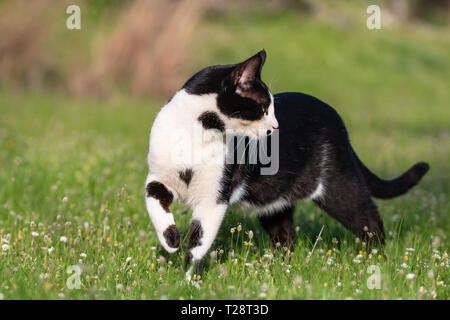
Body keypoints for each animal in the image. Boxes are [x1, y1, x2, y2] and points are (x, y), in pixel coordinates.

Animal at [145, 49, 428, 278]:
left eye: (272, 109)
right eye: (263, 108)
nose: (275, 126)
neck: (197, 131)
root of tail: (336, 118)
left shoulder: (213, 198)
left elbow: (199, 241)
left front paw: (188, 280)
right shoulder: (158, 176)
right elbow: (153, 200)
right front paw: (170, 240)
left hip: (339, 186)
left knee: (370, 220)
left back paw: (378, 261)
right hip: (273, 202)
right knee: (286, 236)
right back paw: (282, 269)